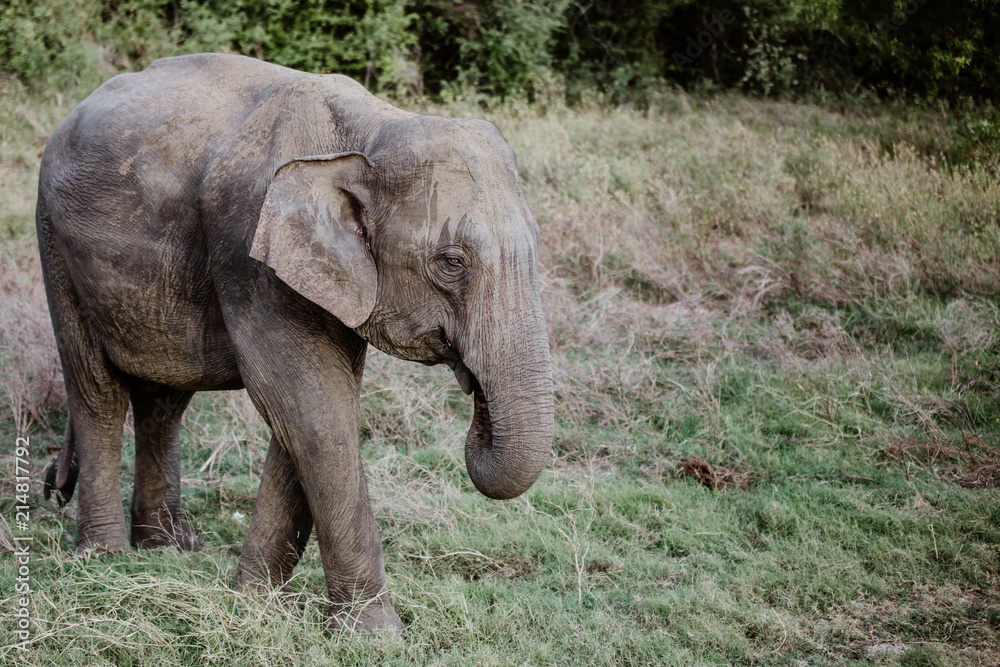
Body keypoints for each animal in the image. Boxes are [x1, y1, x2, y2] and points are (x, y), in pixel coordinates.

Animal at [36, 53, 553, 631]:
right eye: (452, 262)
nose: (475, 395)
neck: (370, 134)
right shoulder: (249, 249)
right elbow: (314, 410)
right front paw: (374, 635)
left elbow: (306, 414)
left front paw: (252, 601)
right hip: (55, 244)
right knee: (96, 390)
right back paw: (105, 557)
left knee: (164, 398)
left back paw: (168, 547)